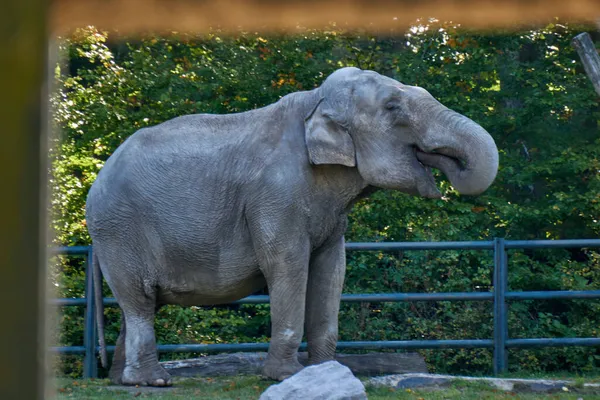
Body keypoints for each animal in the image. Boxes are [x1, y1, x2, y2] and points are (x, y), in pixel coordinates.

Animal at [84, 67, 496, 386]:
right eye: (393, 108)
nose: (445, 163)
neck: (314, 100)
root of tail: (97, 180)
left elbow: (332, 270)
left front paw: (329, 371)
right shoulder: (274, 194)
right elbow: (288, 265)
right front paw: (286, 376)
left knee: (137, 305)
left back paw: (122, 382)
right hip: (120, 230)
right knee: (139, 301)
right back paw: (153, 381)